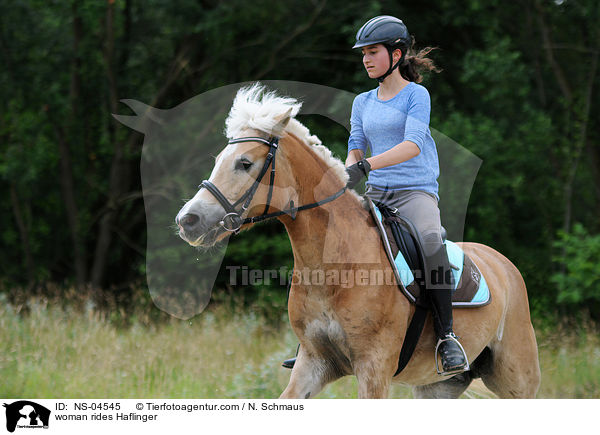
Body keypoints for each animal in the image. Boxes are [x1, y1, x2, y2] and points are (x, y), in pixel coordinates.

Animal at [176, 83, 540, 400]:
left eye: (245, 163)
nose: (188, 220)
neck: (333, 265)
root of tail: (503, 265)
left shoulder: (373, 367)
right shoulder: (314, 362)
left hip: (517, 379)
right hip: (438, 386)